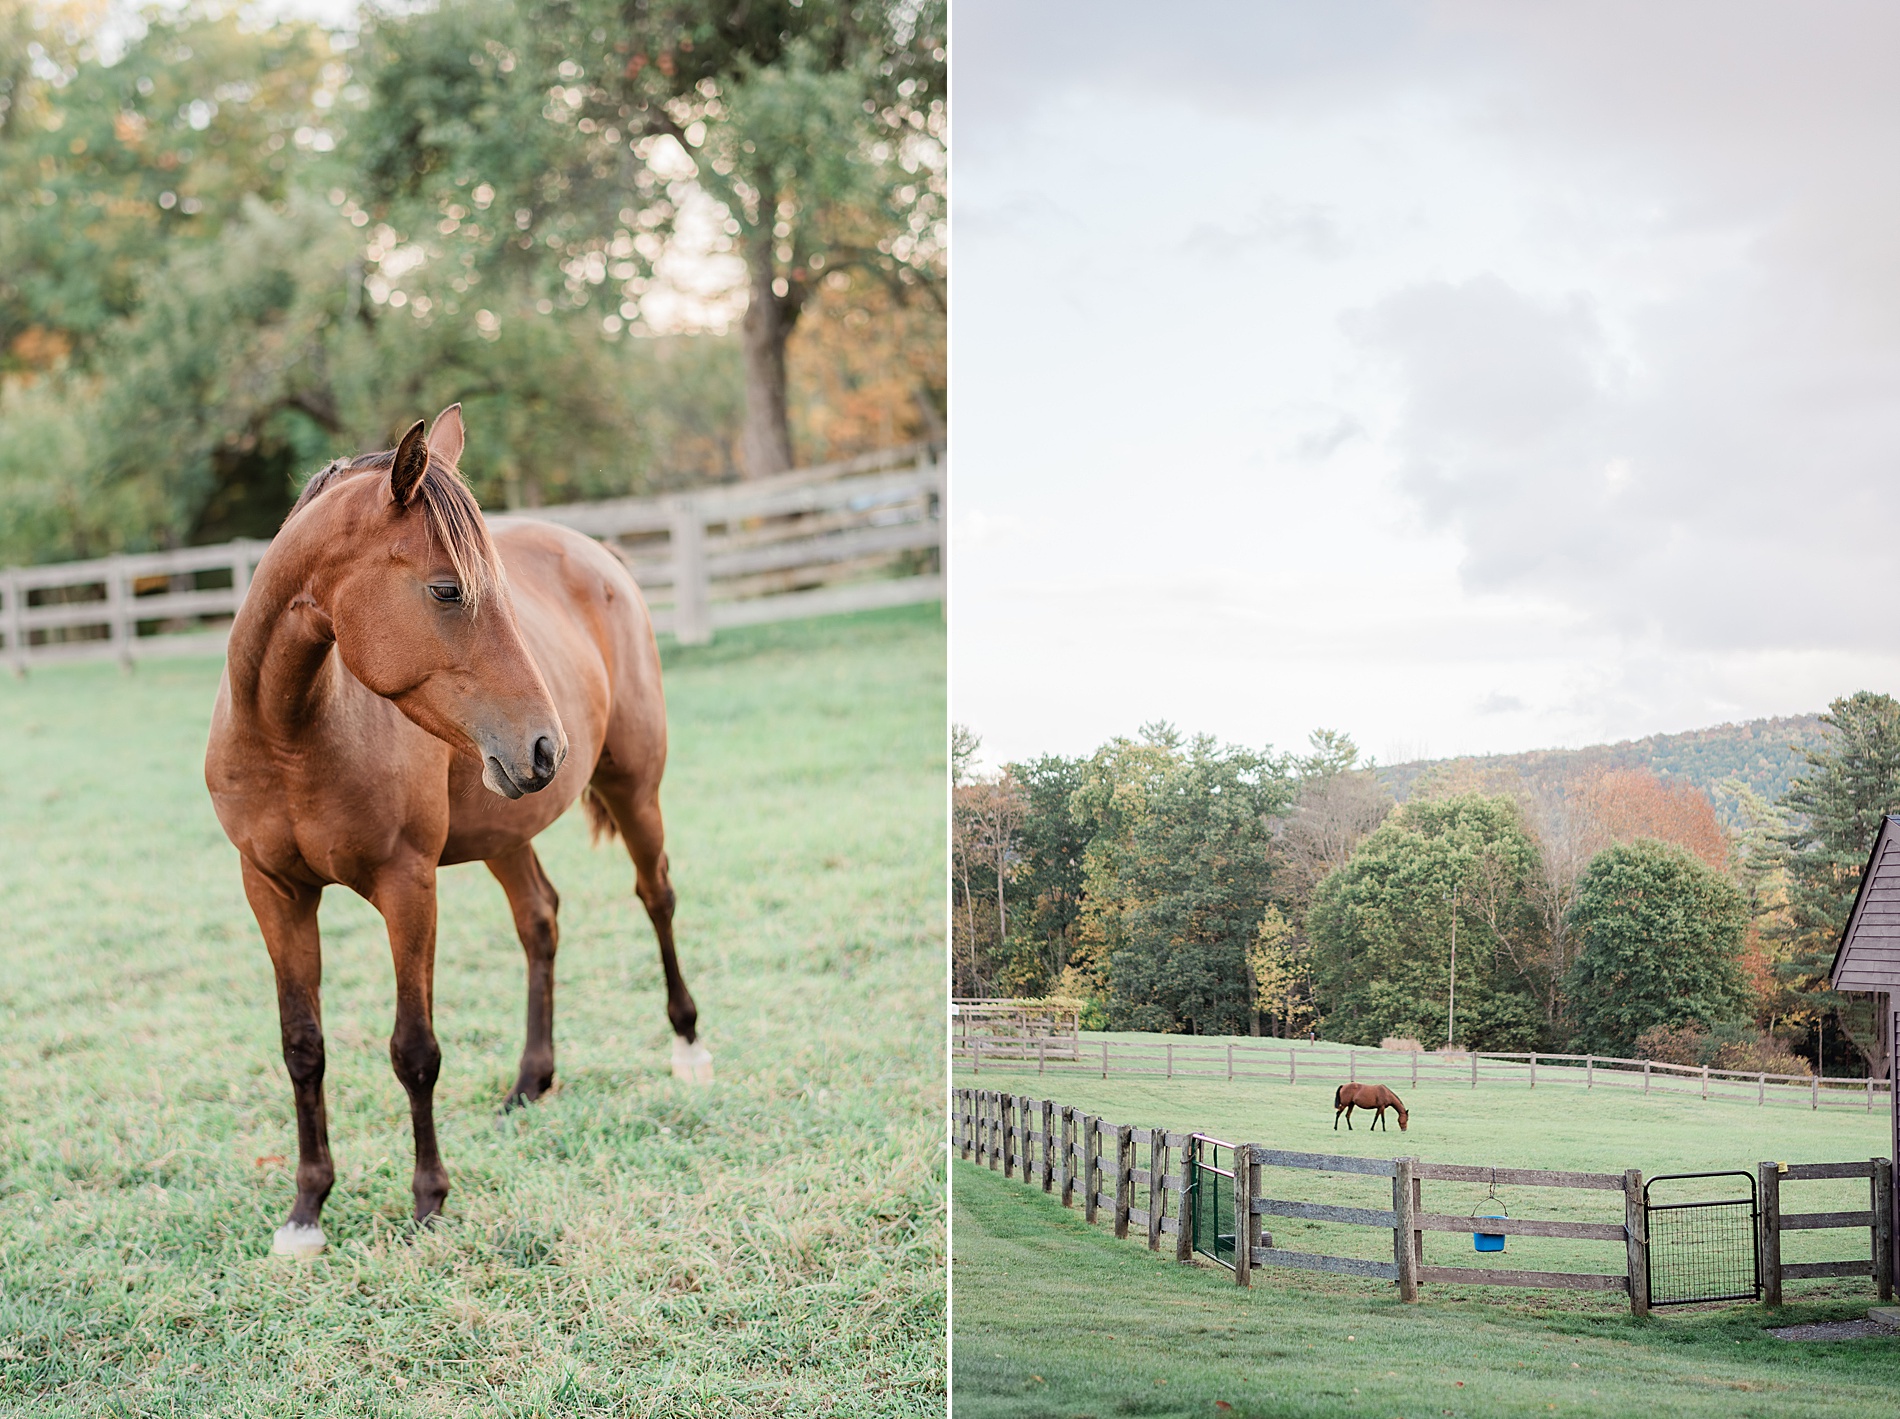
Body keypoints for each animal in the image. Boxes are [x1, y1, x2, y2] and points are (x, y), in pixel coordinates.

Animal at [205, 406, 708, 1258]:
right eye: (447, 590)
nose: (546, 746)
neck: (291, 734)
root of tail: (598, 554)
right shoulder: (272, 889)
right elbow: (302, 1045)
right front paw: (307, 1209)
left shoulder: (407, 885)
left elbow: (414, 1049)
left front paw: (429, 1199)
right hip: (507, 828)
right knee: (540, 920)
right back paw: (531, 1081)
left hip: (634, 788)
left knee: (657, 895)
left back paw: (688, 1046)